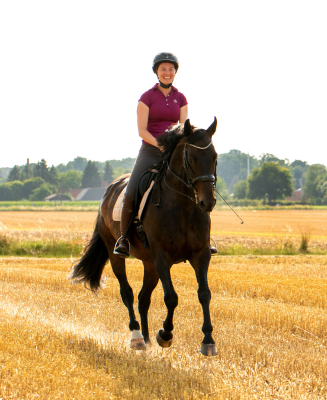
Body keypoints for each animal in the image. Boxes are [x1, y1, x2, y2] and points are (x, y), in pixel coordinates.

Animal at [72, 118, 220, 356]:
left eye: (214, 157)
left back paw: (147, 338)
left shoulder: (200, 255)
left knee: (143, 298)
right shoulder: (162, 257)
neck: (183, 206)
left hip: (150, 264)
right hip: (116, 253)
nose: (208, 202)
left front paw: (208, 340)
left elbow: (204, 293)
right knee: (127, 293)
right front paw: (165, 335)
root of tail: (109, 190)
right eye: (192, 158)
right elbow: (171, 297)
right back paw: (137, 337)